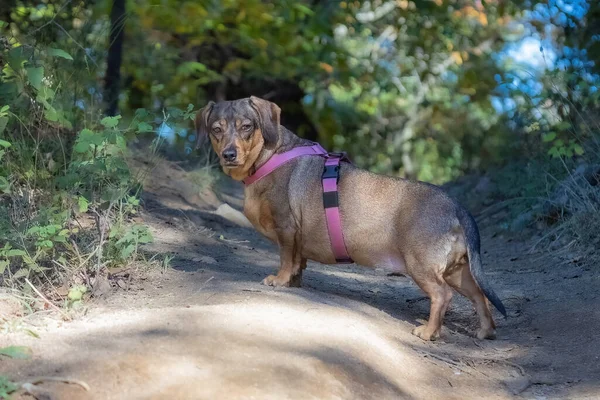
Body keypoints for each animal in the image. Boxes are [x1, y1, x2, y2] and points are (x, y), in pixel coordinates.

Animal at [197, 96, 506, 340]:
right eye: (216, 129)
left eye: (247, 126)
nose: (229, 154)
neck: (270, 154)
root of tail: (457, 207)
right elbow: (298, 262)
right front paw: (294, 281)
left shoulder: (286, 226)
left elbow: (286, 258)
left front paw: (280, 280)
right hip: (458, 272)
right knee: (480, 296)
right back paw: (485, 331)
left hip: (421, 266)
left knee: (442, 296)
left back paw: (429, 332)